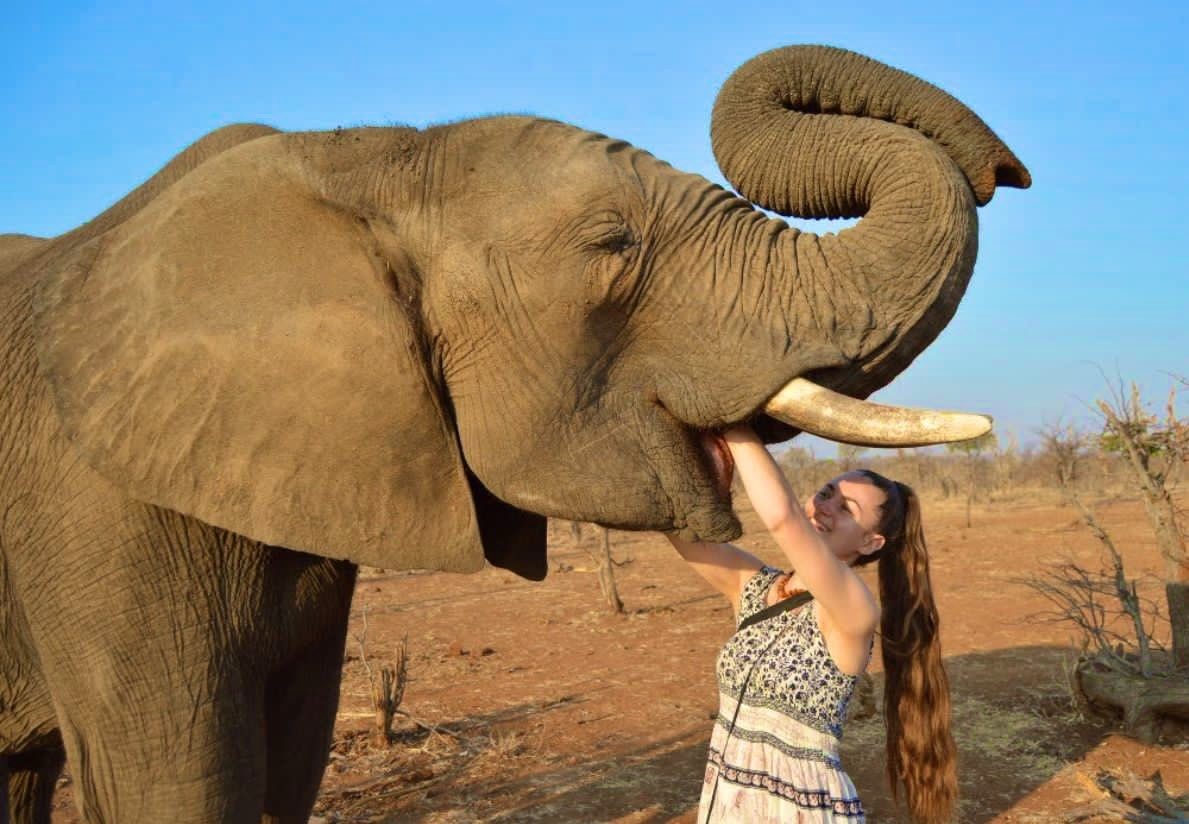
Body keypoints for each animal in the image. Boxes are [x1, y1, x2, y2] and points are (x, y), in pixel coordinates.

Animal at [0, 45, 1029, 822]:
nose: (1007, 171)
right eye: (612, 243)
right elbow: (180, 785)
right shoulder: (95, 520)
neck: (362, 154)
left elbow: (291, 761)